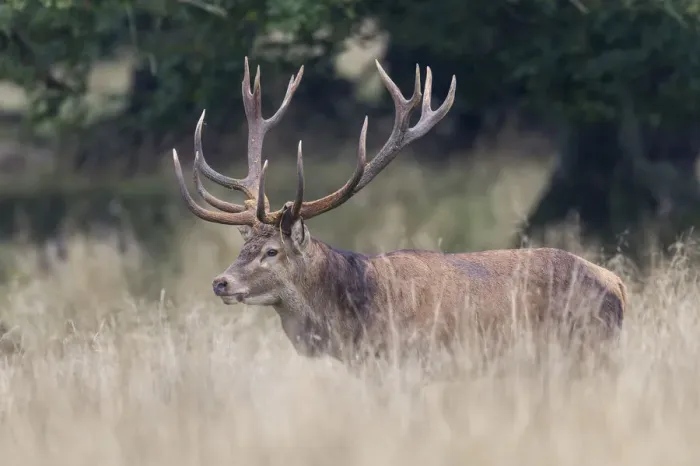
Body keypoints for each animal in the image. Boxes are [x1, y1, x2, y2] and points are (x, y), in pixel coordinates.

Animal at [171, 57, 628, 372]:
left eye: (272, 252)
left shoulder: (409, 364)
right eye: (244, 247)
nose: (220, 282)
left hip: (587, 350)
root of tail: (619, 285)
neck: (355, 322)